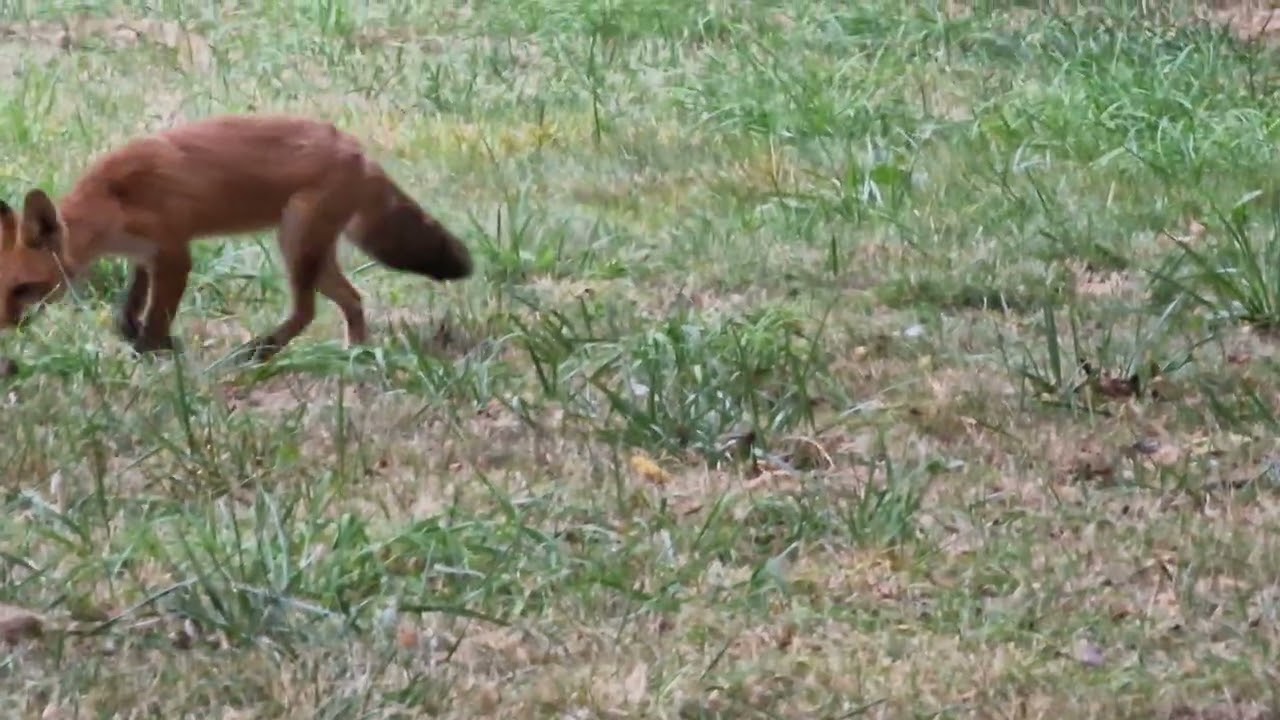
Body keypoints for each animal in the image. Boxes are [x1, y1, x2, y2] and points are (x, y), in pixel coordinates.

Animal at [0, 113, 473, 362]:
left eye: (26, 288)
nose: (4, 328)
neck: (111, 201)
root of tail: (357, 151)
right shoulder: (146, 257)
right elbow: (131, 304)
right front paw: (132, 331)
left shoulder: (174, 252)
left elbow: (158, 316)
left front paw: (154, 354)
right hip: (314, 255)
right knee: (353, 300)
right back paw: (352, 356)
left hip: (295, 245)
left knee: (305, 311)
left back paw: (258, 351)